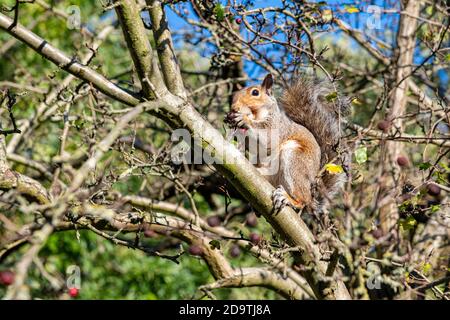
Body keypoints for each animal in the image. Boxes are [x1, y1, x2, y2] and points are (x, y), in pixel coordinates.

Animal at [227, 74, 350, 211]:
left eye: (255, 92)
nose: (234, 107)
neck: (258, 115)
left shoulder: (277, 127)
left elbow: (266, 140)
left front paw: (243, 119)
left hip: (294, 160)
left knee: (303, 199)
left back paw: (290, 199)